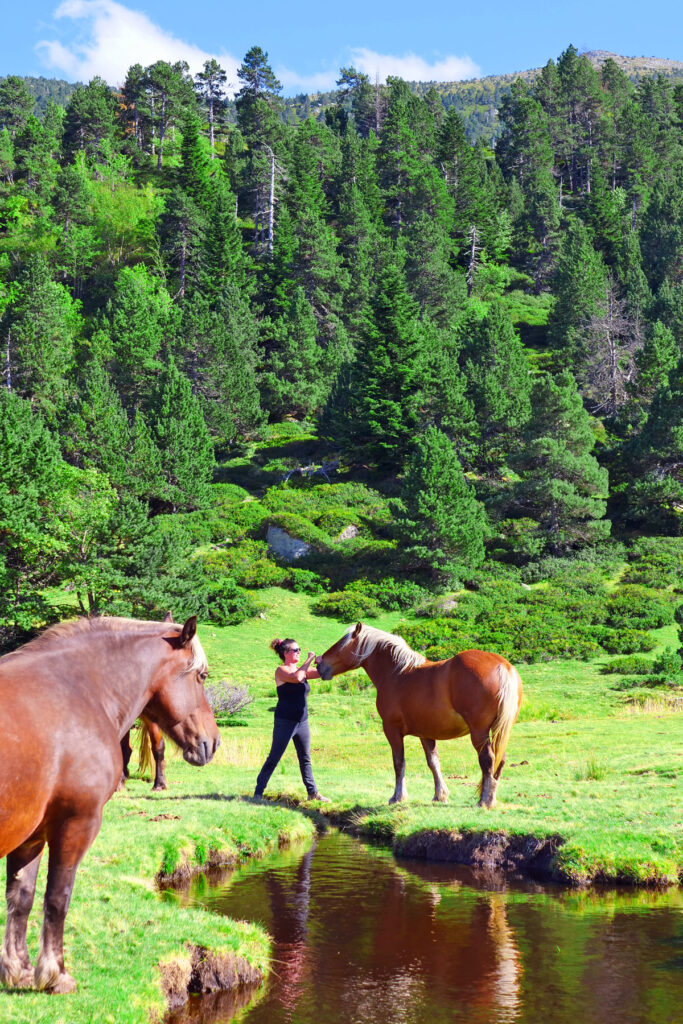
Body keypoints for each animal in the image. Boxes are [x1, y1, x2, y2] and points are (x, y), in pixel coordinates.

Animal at [0, 614, 219, 991]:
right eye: (201, 676)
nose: (214, 742)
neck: (80, 693)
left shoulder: (31, 835)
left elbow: (21, 898)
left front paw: (19, 970)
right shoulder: (76, 823)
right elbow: (57, 898)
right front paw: (54, 974)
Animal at [317, 622, 524, 806]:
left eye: (341, 644)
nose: (319, 663)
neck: (397, 673)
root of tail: (501, 665)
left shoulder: (392, 730)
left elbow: (399, 763)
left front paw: (397, 797)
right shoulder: (426, 734)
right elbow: (433, 762)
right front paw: (440, 795)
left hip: (479, 732)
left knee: (488, 759)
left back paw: (485, 801)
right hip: (499, 731)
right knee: (500, 760)